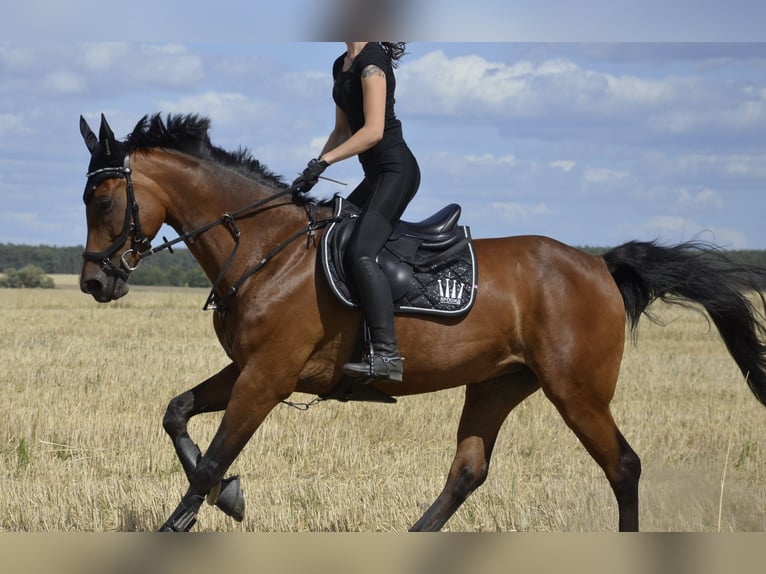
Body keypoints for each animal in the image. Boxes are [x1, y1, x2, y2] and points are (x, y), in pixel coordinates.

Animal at [79, 113, 766, 536]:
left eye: (103, 200)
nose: (94, 283)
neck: (267, 249)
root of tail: (597, 262)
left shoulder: (268, 376)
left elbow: (215, 454)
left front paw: (187, 518)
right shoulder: (249, 369)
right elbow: (177, 415)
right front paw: (227, 497)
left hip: (577, 390)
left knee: (623, 466)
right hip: (497, 383)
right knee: (469, 470)